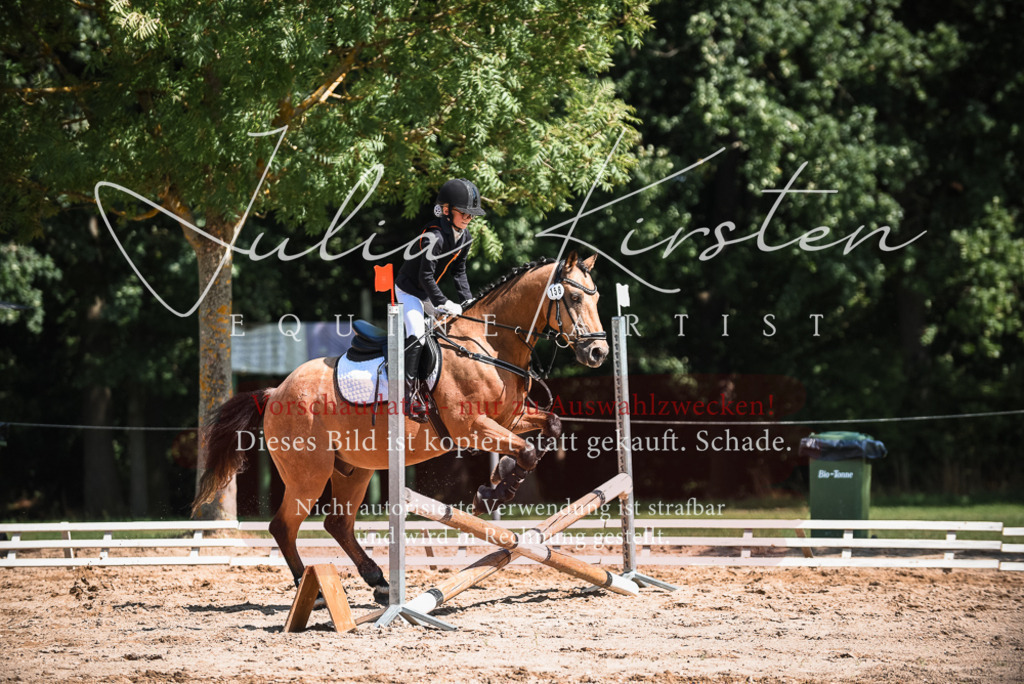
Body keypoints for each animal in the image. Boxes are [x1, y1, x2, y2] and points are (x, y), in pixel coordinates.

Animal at [192, 252, 608, 604]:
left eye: (598, 297)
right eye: (573, 298)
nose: (599, 353)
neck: (488, 347)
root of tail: (275, 391)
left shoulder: (510, 420)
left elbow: (547, 430)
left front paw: (497, 482)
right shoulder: (472, 427)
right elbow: (528, 450)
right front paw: (492, 495)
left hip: (353, 470)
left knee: (337, 523)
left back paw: (378, 583)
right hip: (308, 474)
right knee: (284, 526)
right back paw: (315, 593)